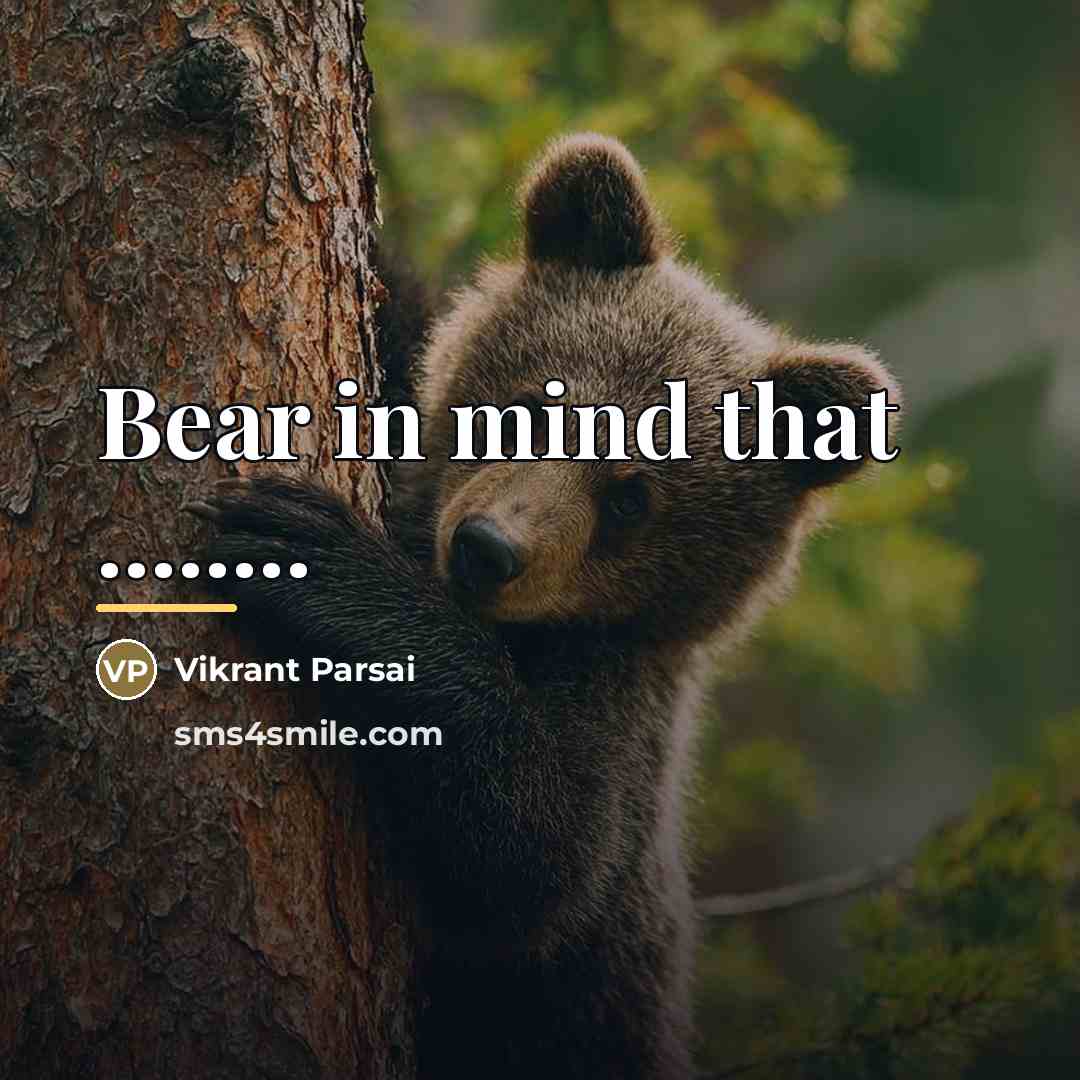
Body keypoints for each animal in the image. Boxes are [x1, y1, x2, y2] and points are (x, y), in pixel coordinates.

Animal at [187, 133, 899, 1080]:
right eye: (534, 408)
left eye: (632, 496)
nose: (487, 548)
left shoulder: (617, 718)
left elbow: (536, 857)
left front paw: (309, 552)